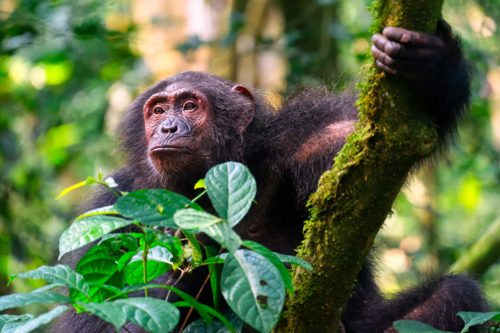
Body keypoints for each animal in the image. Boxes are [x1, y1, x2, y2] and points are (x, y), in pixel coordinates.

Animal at [52, 20, 486, 332]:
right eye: (157, 111)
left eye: (190, 105)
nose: (168, 128)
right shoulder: (113, 209)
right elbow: (101, 312)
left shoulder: (301, 137)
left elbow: (365, 136)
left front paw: (431, 64)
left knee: (455, 294)